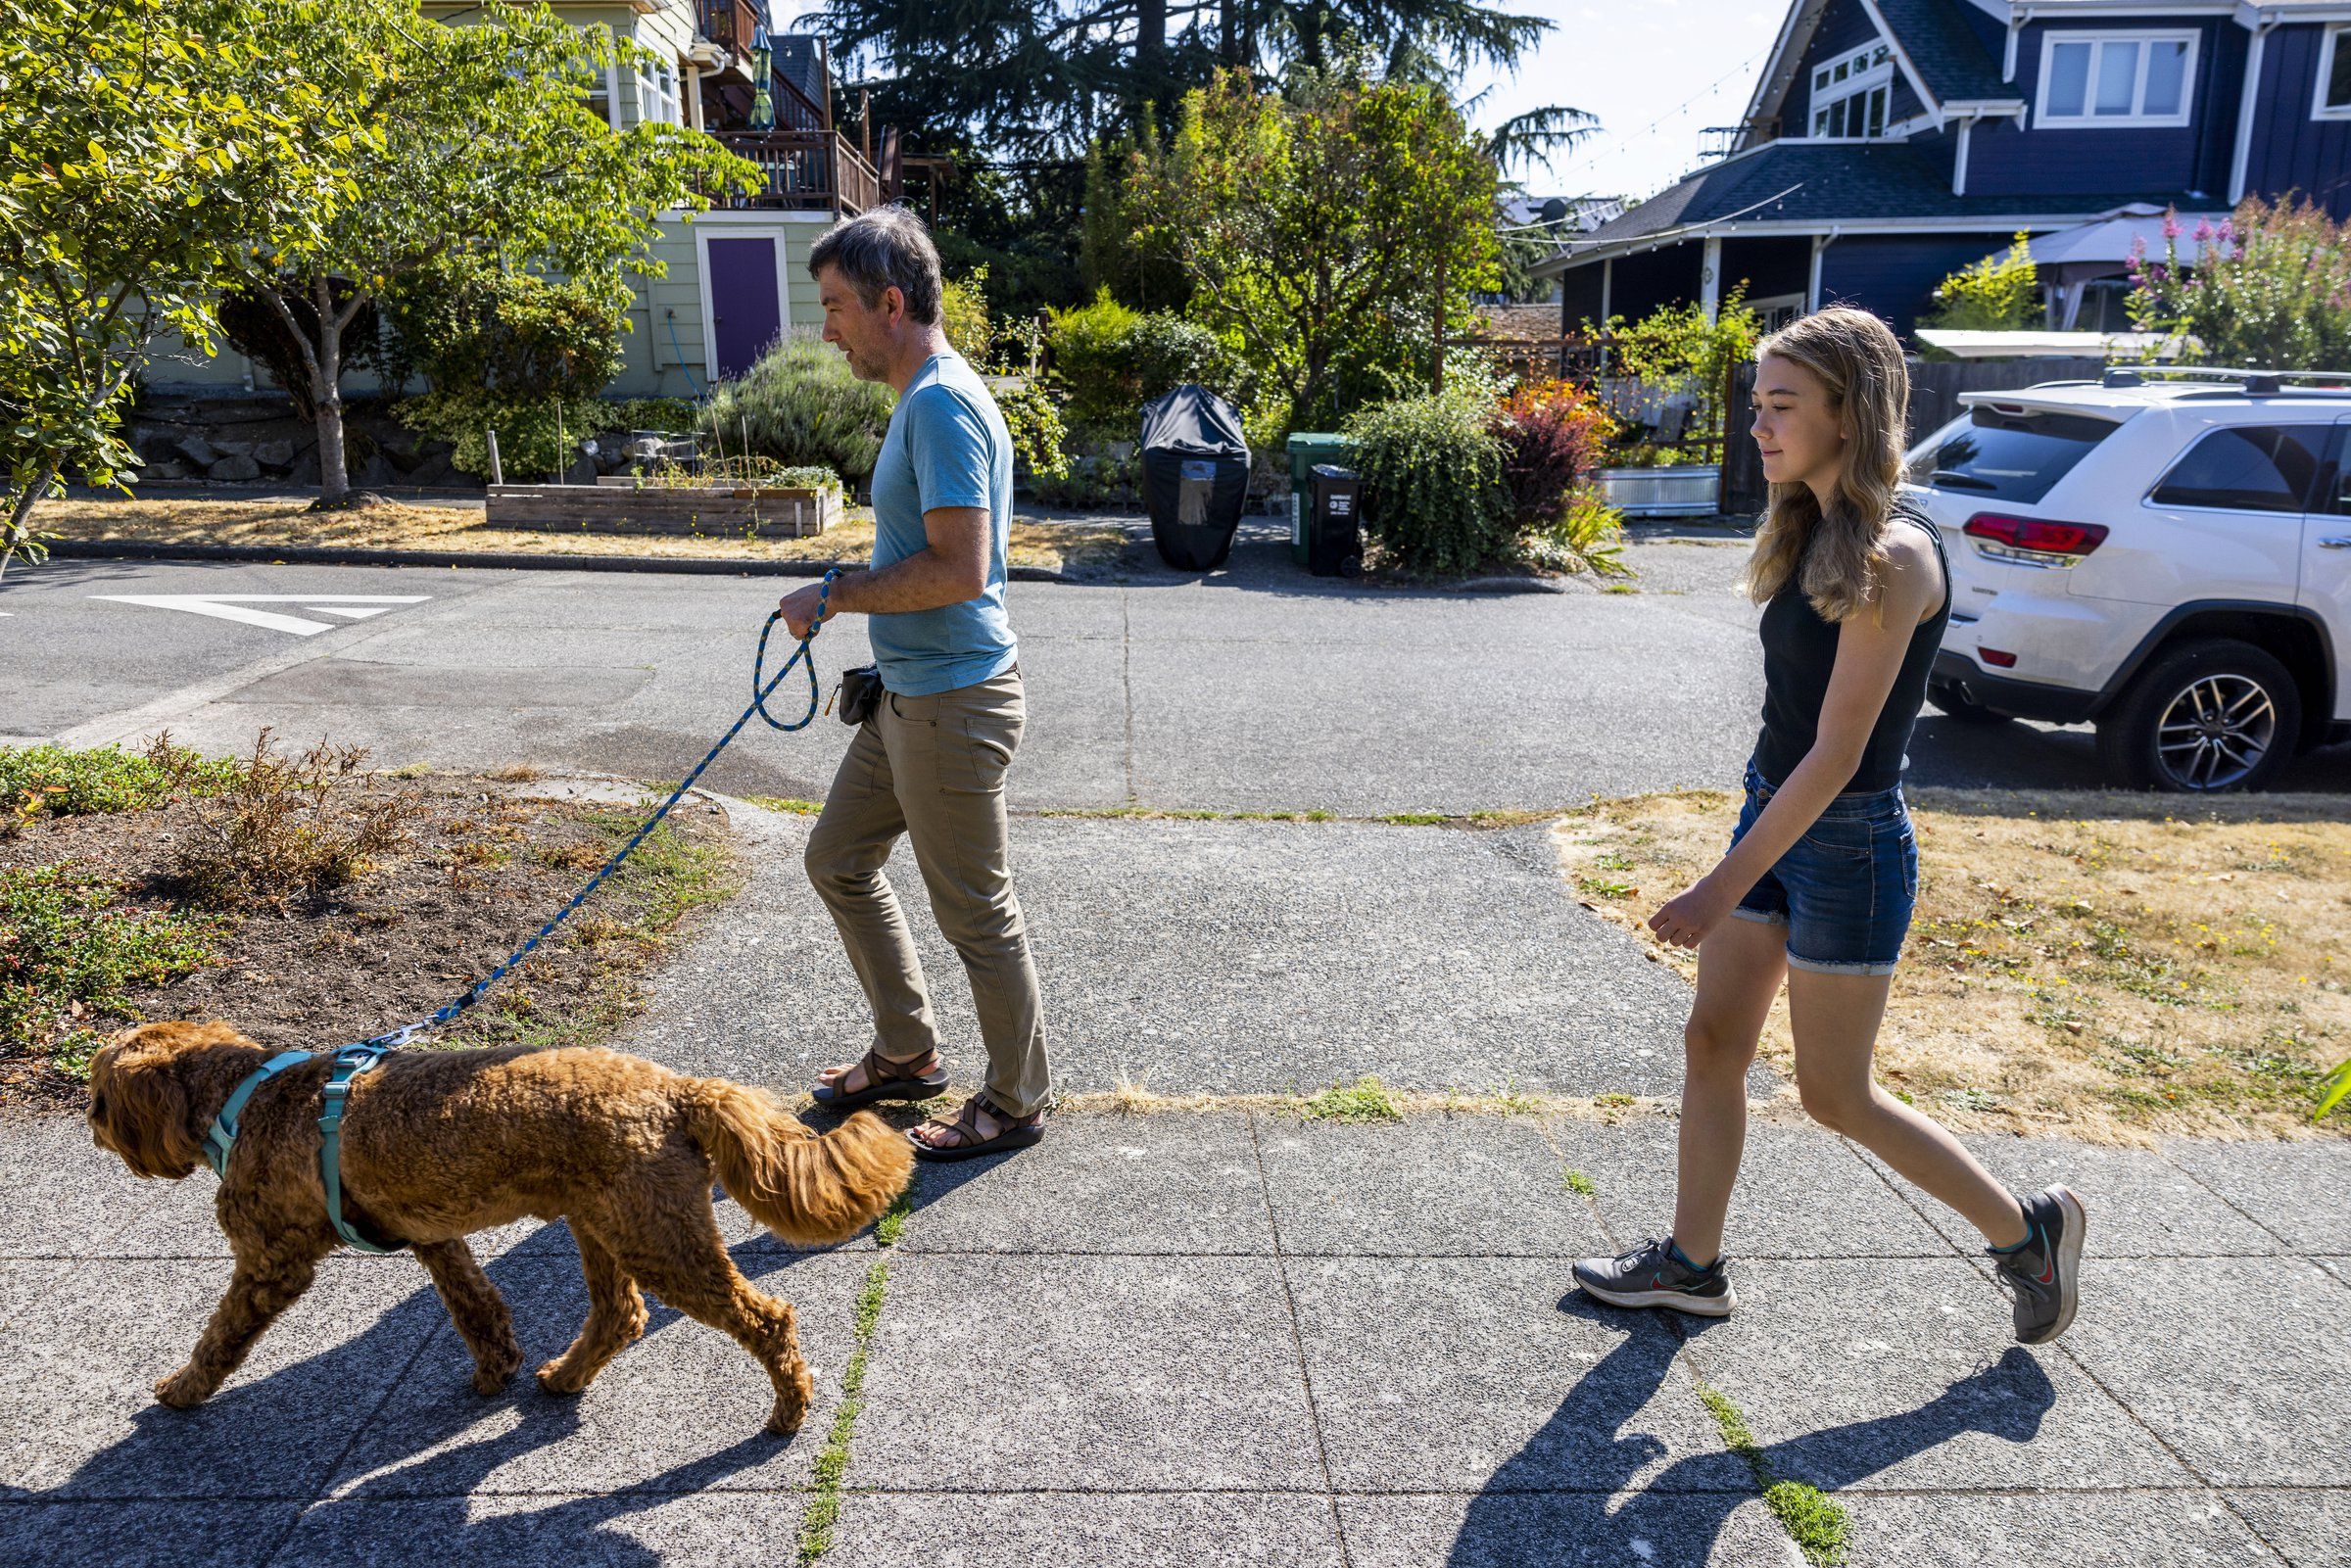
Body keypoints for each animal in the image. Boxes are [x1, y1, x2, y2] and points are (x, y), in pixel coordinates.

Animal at [85, 1024, 907, 1438]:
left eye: (98, 1095)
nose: (89, 1123)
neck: (247, 1094)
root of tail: (680, 1091)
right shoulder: (432, 1234)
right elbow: (475, 1306)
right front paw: (494, 1371)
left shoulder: (270, 1260)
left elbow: (220, 1334)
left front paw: (181, 1389)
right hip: (604, 1220)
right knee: (620, 1313)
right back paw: (565, 1375)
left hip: (657, 1235)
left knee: (766, 1319)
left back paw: (788, 1411)